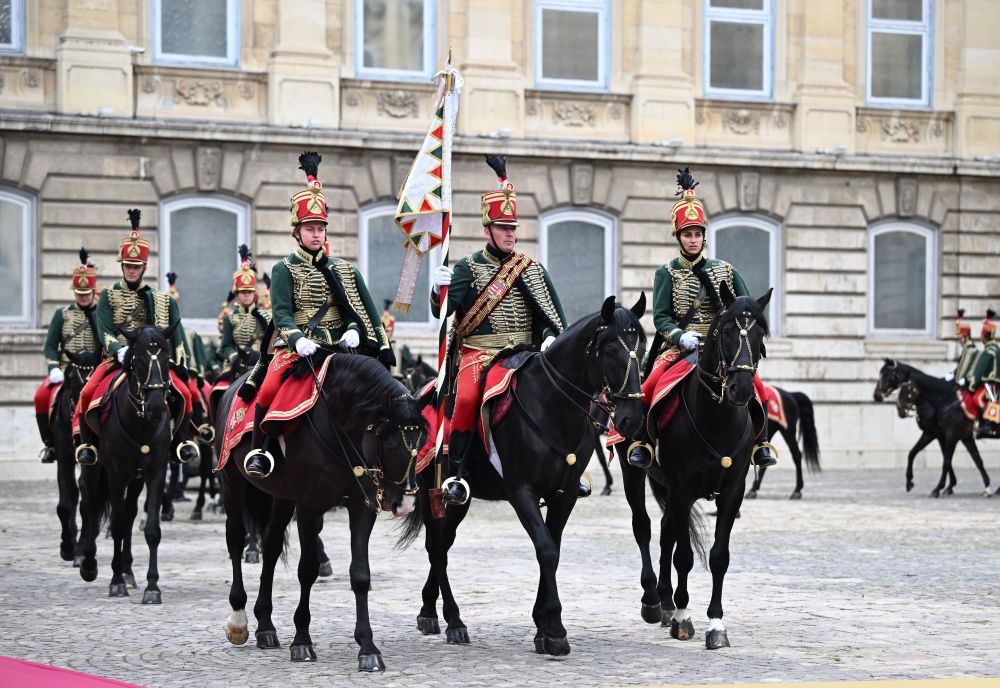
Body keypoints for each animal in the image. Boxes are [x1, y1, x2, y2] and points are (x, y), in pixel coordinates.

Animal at [78, 324, 182, 600]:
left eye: (167, 359)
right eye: (139, 360)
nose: (156, 406)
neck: (141, 424)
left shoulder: (155, 473)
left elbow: (151, 530)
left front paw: (152, 587)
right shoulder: (116, 475)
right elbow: (115, 523)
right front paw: (115, 582)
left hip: (135, 479)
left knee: (129, 512)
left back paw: (127, 571)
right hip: (93, 468)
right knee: (91, 505)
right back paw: (88, 564)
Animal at [218, 354, 426, 672]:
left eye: (422, 441)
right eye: (390, 441)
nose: (405, 503)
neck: (340, 426)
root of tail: (233, 387)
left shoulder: (361, 506)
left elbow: (360, 574)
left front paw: (367, 647)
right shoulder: (308, 506)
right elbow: (307, 570)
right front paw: (302, 641)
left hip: (282, 497)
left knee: (271, 546)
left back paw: (265, 626)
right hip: (232, 483)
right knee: (236, 540)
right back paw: (239, 620)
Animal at [398, 294, 648, 656]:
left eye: (642, 348)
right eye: (611, 349)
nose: (632, 418)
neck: (552, 405)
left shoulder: (564, 494)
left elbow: (553, 548)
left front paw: (542, 624)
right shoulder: (521, 492)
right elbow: (545, 549)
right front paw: (554, 628)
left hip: (460, 500)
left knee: (442, 544)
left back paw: (431, 611)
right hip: (433, 491)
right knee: (436, 546)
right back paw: (453, 620)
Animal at [616, 284, 772, 652]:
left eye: (759, 333)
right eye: (726, 331)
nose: (742, 389)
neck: (717, 418)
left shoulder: (732, 492)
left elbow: (718, 556)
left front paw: (715, 624)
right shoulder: (681, 490)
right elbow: (684, 556)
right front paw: (684, 619)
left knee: (666, 534)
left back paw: (666, 603)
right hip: (637, 475)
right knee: (644, 528)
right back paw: (654, 602)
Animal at [872, 358, 988, 498]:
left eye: (888, 375)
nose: (876, 395)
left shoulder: (946, 435)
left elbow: (946, 461)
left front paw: (940, 488)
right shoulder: (939, 434)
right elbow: (914, 453)